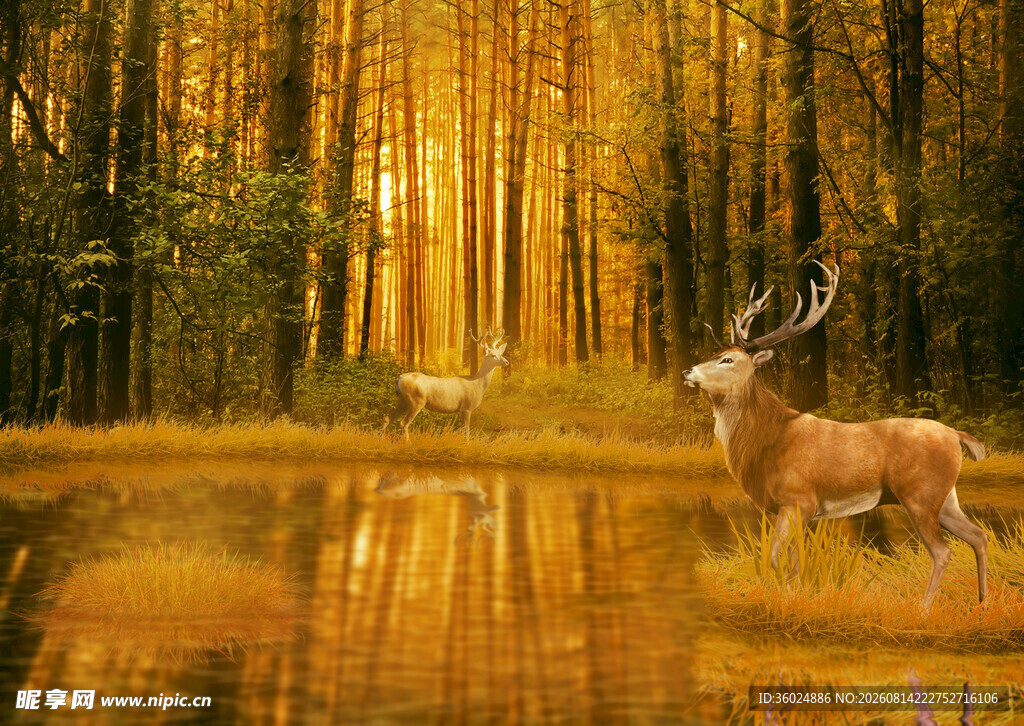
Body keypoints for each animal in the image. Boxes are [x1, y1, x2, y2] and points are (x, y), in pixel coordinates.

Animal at [683, 262, 988, 613]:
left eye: (727, 359)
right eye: (716, 353)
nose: (687, 372)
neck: (766, 442)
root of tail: (956, 435)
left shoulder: (798, 498)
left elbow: (775, 557)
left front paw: (788, 602)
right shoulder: (800, 510)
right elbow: (793, 561)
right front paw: (796, 598)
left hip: (920, 494)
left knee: (942, 551)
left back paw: (923, 610)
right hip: (946, 497)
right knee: (979, 535)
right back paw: (983, 603)